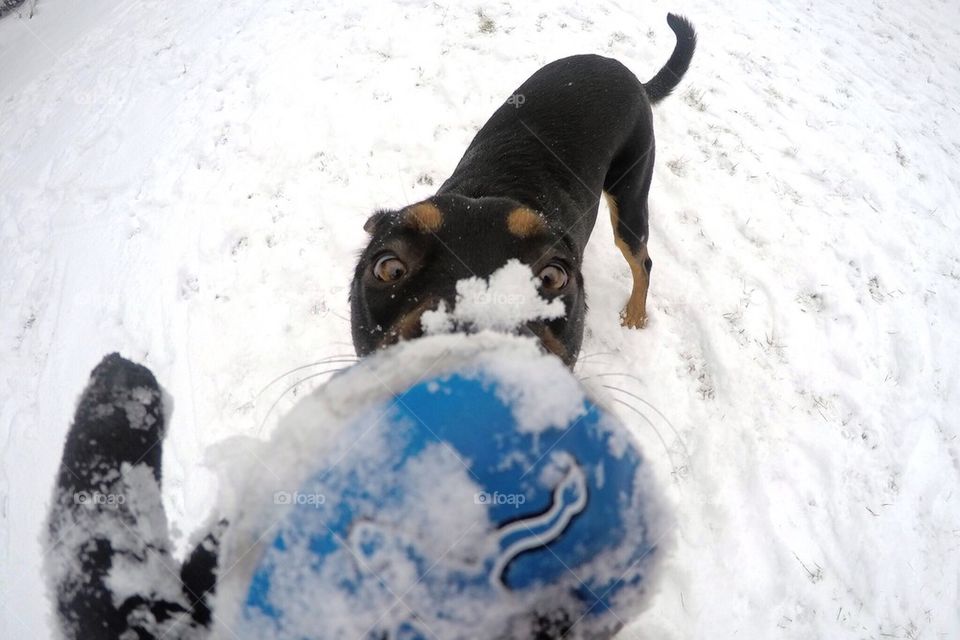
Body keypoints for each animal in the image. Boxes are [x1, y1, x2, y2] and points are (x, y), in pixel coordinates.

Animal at [352, 13, 696, 364]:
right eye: (390, 268)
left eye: (552, 276)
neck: (486, 190)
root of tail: (634, 79)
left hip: (629, 197)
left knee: (643, 261)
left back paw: (635, 316)